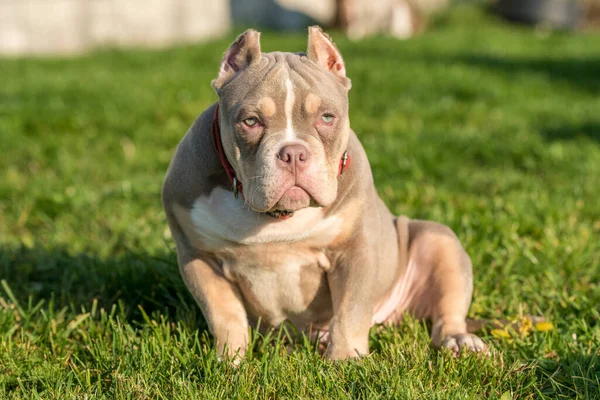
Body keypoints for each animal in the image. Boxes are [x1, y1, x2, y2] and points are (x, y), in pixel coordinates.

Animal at [161, 26, 488, 360]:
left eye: (327, 118)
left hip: (439, 240)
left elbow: (349, 312)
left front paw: (345, 361)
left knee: (446, 311)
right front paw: (229, 361)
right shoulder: (199, 256)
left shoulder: (355, 250)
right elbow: (224, 314)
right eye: (251, 121)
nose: (293, 153)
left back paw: (459, 340)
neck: (277, 217)